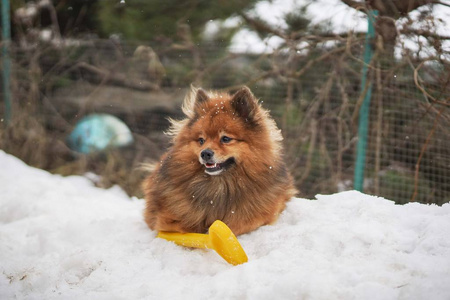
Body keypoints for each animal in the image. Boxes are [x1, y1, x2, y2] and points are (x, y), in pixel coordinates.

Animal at [144, 85, 298, 236]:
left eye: (226, 139)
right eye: (201, 140)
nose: (205, 153)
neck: (220, 186)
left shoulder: (258, 216)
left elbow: (240, 225)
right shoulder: (167, 217)